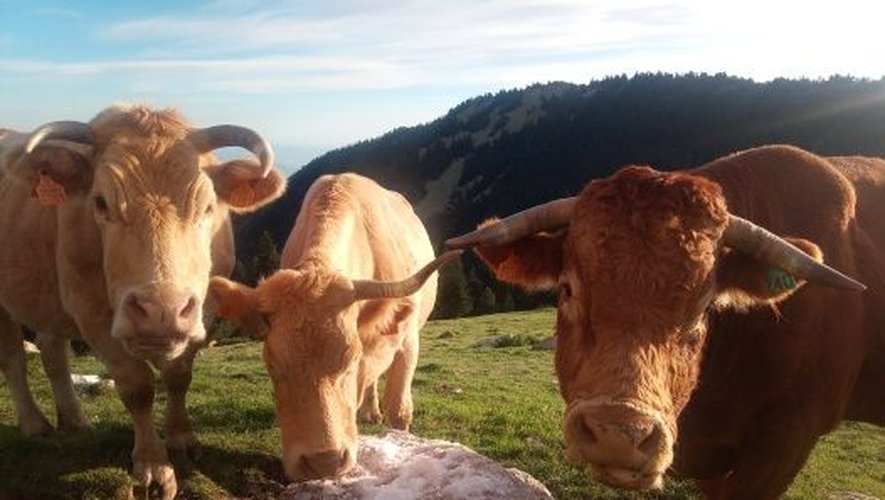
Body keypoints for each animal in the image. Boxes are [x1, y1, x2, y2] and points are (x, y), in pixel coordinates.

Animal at [0, 104, 286, 500]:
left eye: (207, 206)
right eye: (100, 202)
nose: (160, 311)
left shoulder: (204, 307)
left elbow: (179, 375)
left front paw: (182, 440)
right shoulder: (91, 311)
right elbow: (136, 385)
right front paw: (153, 466)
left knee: (52, 351)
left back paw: (74, 420)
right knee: (14, 359)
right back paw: (34, 424)